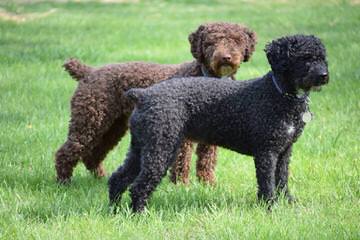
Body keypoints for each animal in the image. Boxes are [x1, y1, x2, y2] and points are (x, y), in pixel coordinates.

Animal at [109, 34, 330, 212]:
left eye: (322, 57)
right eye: (304, 58)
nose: (324, 76)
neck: (278, 94)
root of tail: (143, 95)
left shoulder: (284, 151)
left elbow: (282, 179)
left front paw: (288, 202)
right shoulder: (266, 152)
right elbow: (267, 182)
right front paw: (271, 207)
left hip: (141, 147)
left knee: (118, 179)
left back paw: (115, 210)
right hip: (161, 148)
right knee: (139, 186)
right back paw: (140, 214)